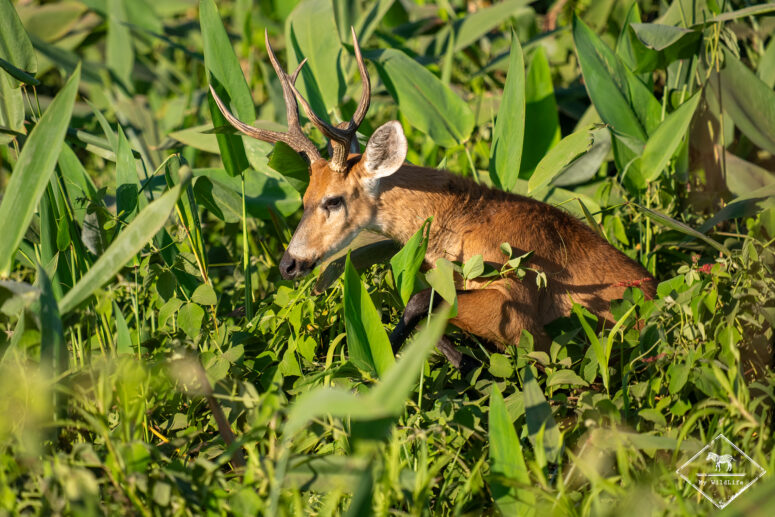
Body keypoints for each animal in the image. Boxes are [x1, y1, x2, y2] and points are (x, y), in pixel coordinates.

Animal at [209, 28, 656, 370]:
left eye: (332, 200)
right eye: (303, 197)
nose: (288, 264)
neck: (461, 223)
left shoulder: (521, 300)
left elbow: (419, 301)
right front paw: (458, 361)